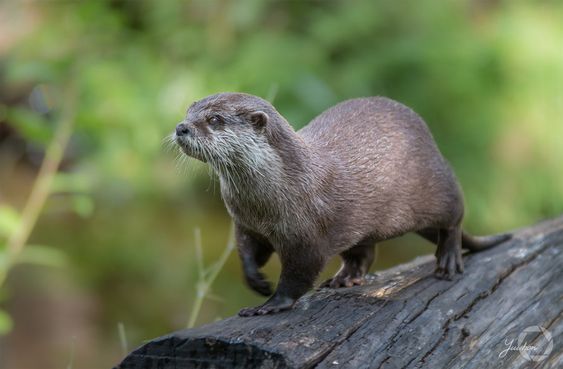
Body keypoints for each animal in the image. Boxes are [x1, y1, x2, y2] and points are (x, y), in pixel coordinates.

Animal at [174, 92, 512, 316]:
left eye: (214, 119)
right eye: (189, 111)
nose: (181, 127)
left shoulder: (306, 235)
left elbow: (298, 275)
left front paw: (270, 304)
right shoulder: (245, 223)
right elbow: (246, 251)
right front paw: (256, 281)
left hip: (438, 183)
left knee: (454, 217)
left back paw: (449, 259)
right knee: (363, 252)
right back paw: (345, 278)